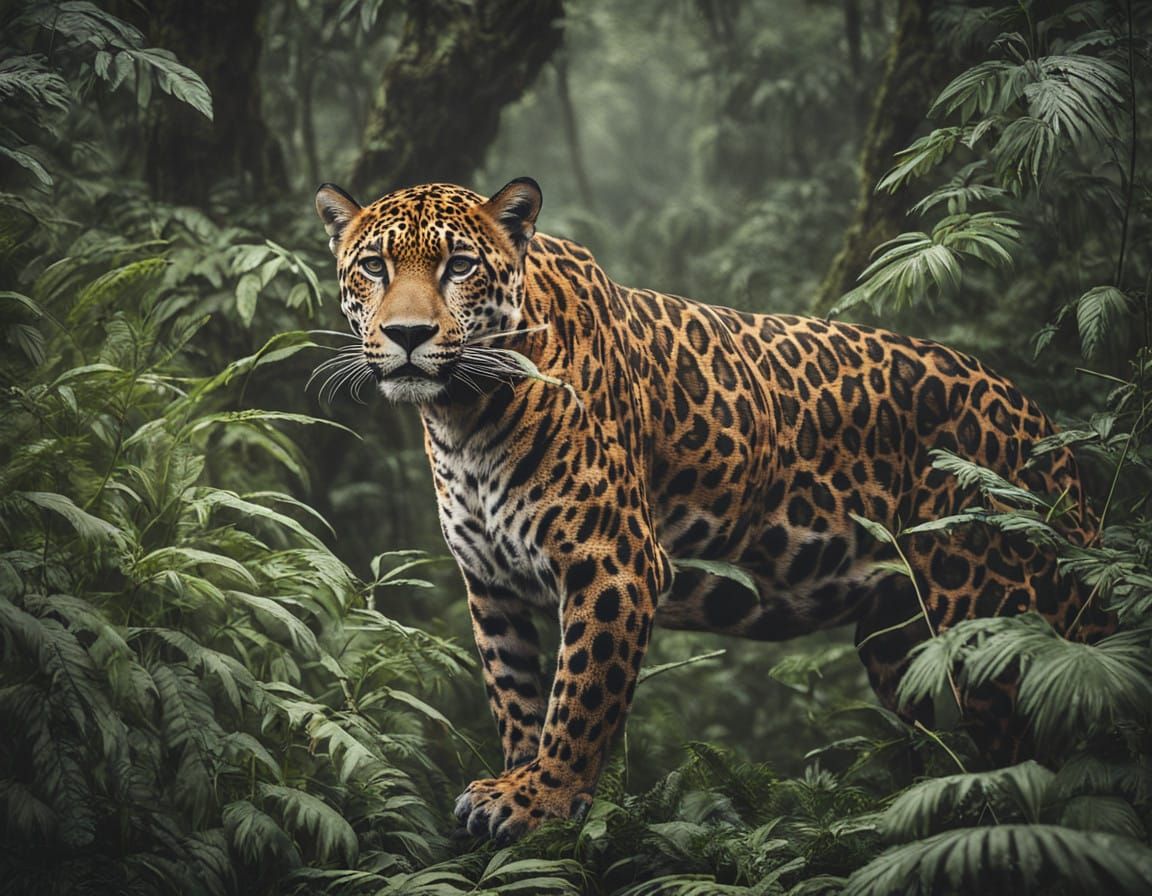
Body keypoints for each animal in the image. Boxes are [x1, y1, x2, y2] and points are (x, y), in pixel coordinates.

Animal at [314, 177, 1110, 844]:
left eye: (459, 266)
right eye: (375, 267)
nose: (407, 336)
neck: (464, 418)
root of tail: (1042, 425)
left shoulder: (615, 567)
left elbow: (578, 699)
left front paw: (540, 798)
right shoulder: (492, 586)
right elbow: (516, 698)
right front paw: (515, 777)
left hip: (991, 620)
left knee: (1041, 753)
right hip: (896, 637)